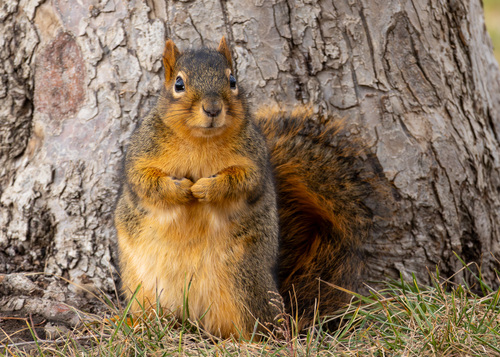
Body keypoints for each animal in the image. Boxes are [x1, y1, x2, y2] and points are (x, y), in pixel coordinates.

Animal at [115, 36, 384, 340]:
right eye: (179, 84)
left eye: (232, 80)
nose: (212, 109)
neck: (200, 140)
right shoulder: (142, 151)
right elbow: (144, 181)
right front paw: (181, 189)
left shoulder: (253, 159)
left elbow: (242, 182)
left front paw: (205, 189)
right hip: (144, 290)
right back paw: (138, 325)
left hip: (244, 284)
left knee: (256, 327)